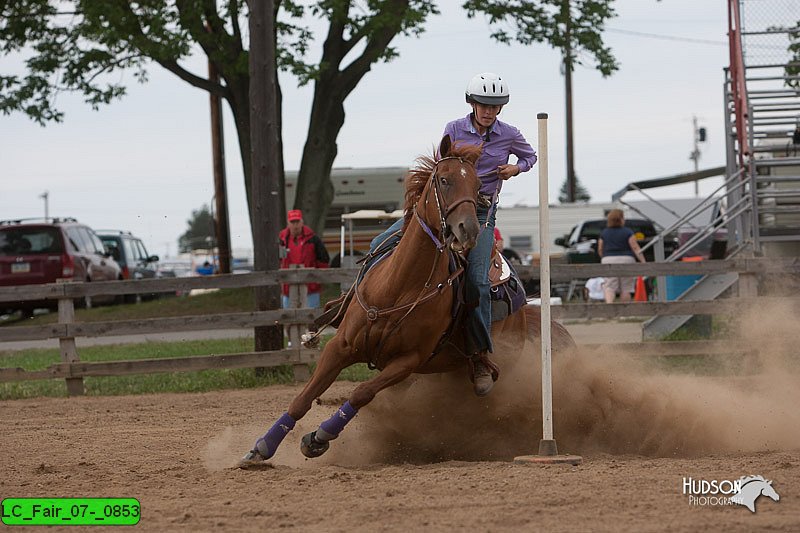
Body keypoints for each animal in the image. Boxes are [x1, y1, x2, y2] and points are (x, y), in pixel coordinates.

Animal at [241, 135, 572, 464]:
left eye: (479, 185)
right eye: (444, 180)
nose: (469, 230)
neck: (398, 288)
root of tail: (525, 311)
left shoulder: (407, 361)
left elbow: (361, 393)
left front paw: (318, 437)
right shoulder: (340, 347)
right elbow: (303, 398)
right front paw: (261, 447)